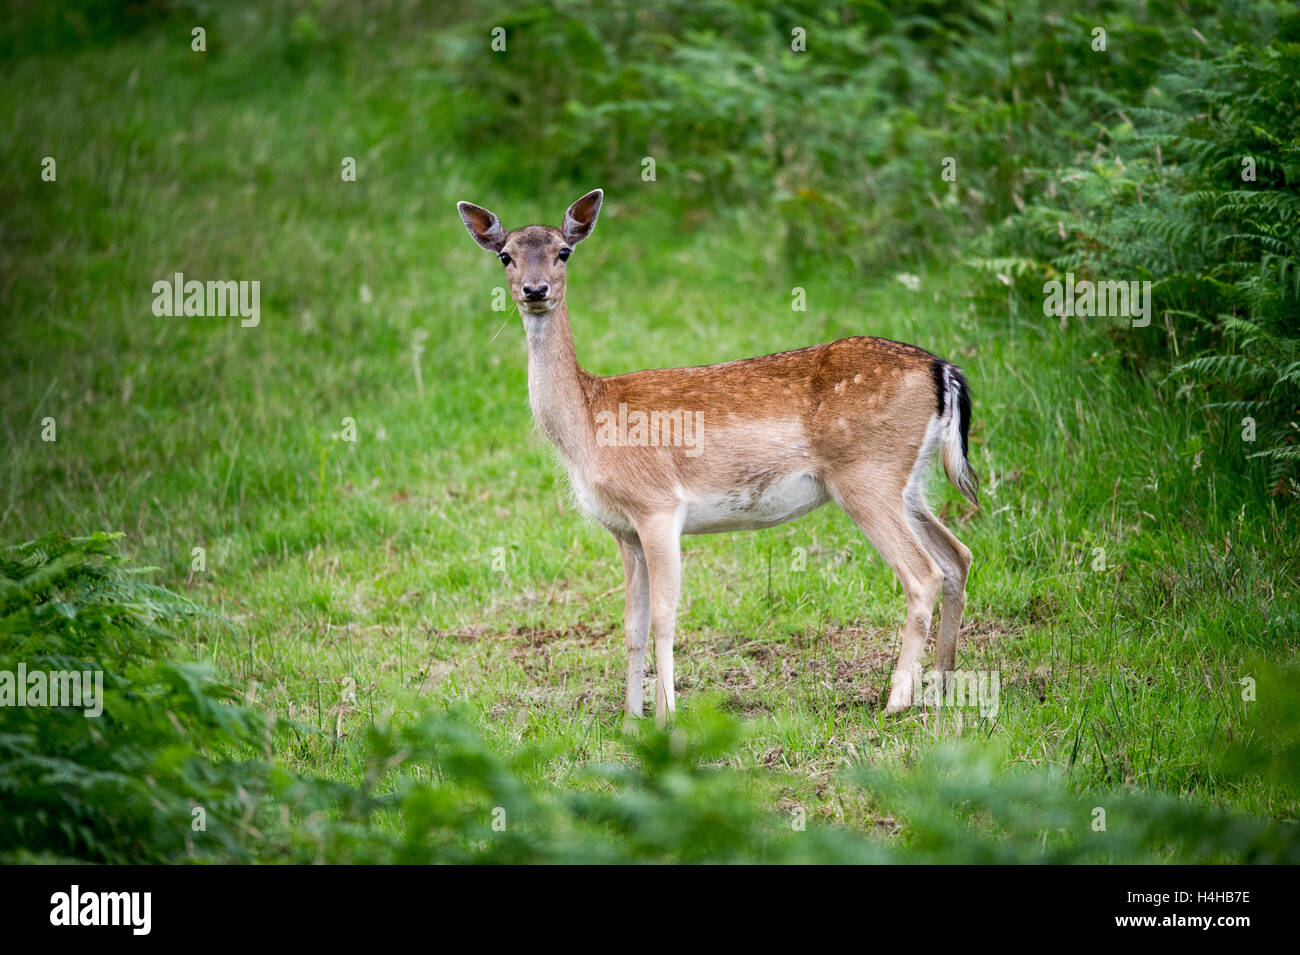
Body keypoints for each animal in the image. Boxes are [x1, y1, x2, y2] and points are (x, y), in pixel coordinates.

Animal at [457, 188, 977, 722]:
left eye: (564, 251)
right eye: (505, 256)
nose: (535, 289)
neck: (587, 424)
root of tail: (944, 371)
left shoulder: (658, 506)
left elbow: (664, 617)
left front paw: (665, 716)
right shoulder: (623, 530)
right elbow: (631, 624)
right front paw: (630, 717)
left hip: (867, 475)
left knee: (923, 574)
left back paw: (896, 701)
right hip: (906, 483)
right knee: (958, 556)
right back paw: (943, 683)